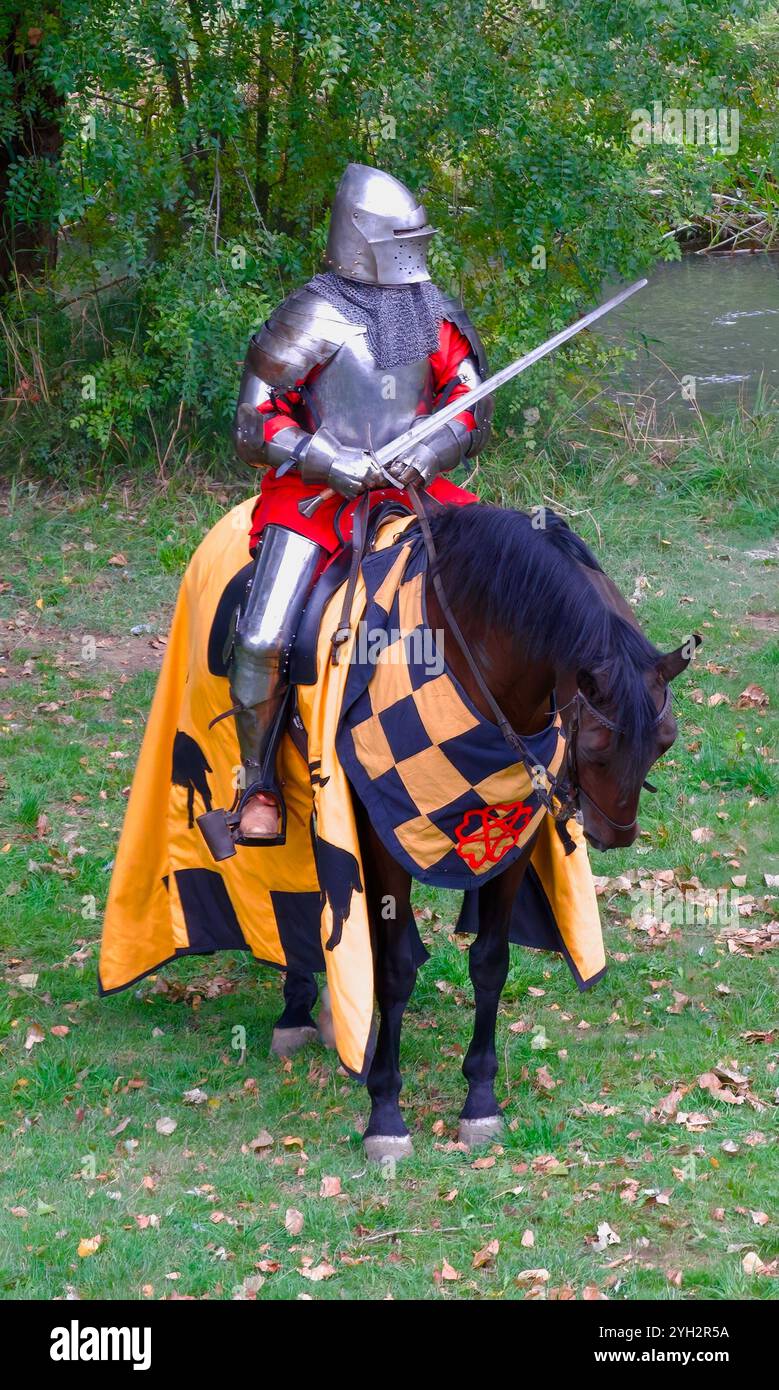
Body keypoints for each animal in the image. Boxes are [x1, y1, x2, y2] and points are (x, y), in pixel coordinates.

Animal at [276, 503, 695, 1162]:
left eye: (664, 741)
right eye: (597, 748)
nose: (616, 834)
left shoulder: (513, 835)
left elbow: (491, 961)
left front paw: (480, 1100)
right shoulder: (382, 834)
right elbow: (394, 969)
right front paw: (385, 1112)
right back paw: (298, 1006)